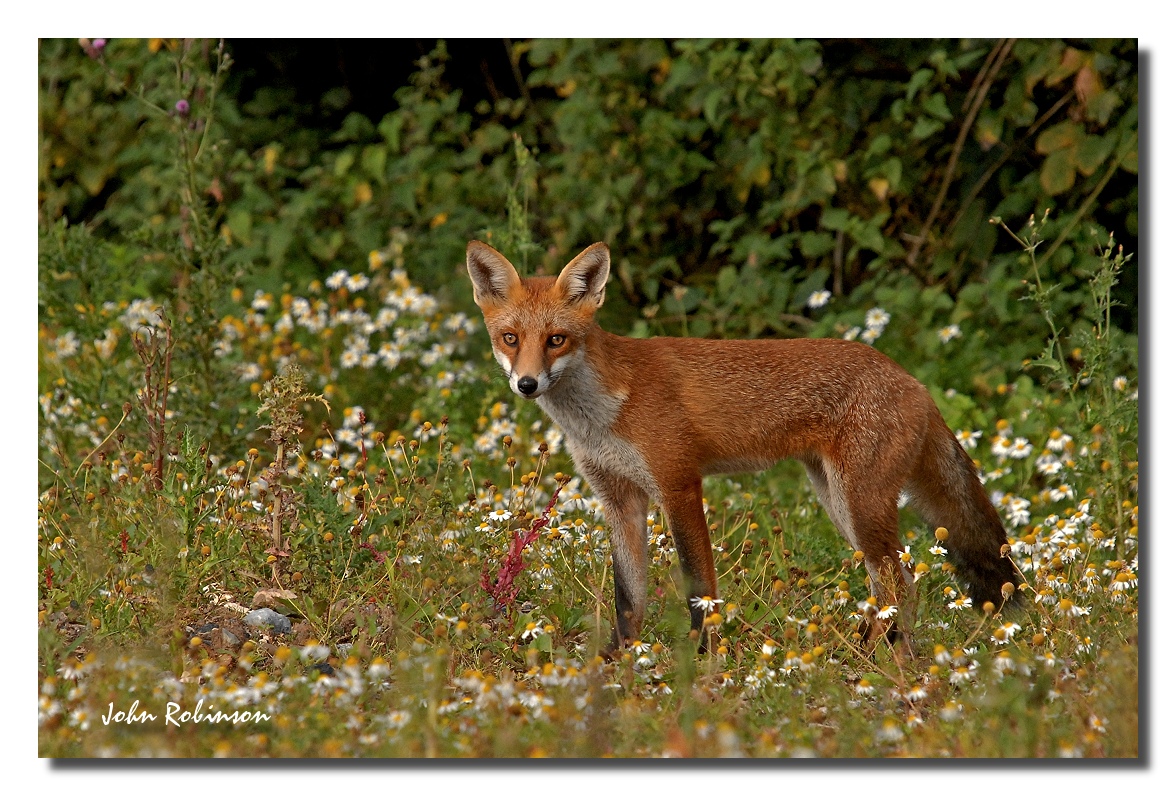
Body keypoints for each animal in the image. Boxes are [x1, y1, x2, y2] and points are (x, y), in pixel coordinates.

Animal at [466, 239, 1020, 658]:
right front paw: (620, 659)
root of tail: (914, 380)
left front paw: (701, 658)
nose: (527, 384)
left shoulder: (678, 484)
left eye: (556, 339)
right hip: (840, 503)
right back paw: (878, 651)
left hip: (859, 505)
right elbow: (628, 597)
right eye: (510, 338)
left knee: (903, 584)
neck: (602, 414)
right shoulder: (618, 497)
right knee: (895, 583)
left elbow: (699, 587)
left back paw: (885, 659)